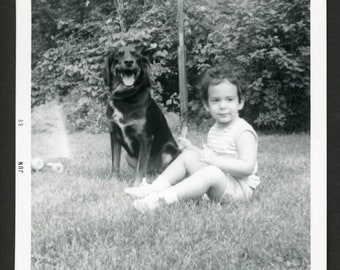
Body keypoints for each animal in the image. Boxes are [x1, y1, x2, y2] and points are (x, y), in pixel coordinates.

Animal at [102, 46, 179, 186]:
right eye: (118, 55)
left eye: (136, 55)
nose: (128, 62)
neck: (125, 97)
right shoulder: (114, 135)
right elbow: (115, 163)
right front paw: (114, 181)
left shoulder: (145, 138)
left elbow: (141, 168)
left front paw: (136, 185)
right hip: (129, 156)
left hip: (169, 151)